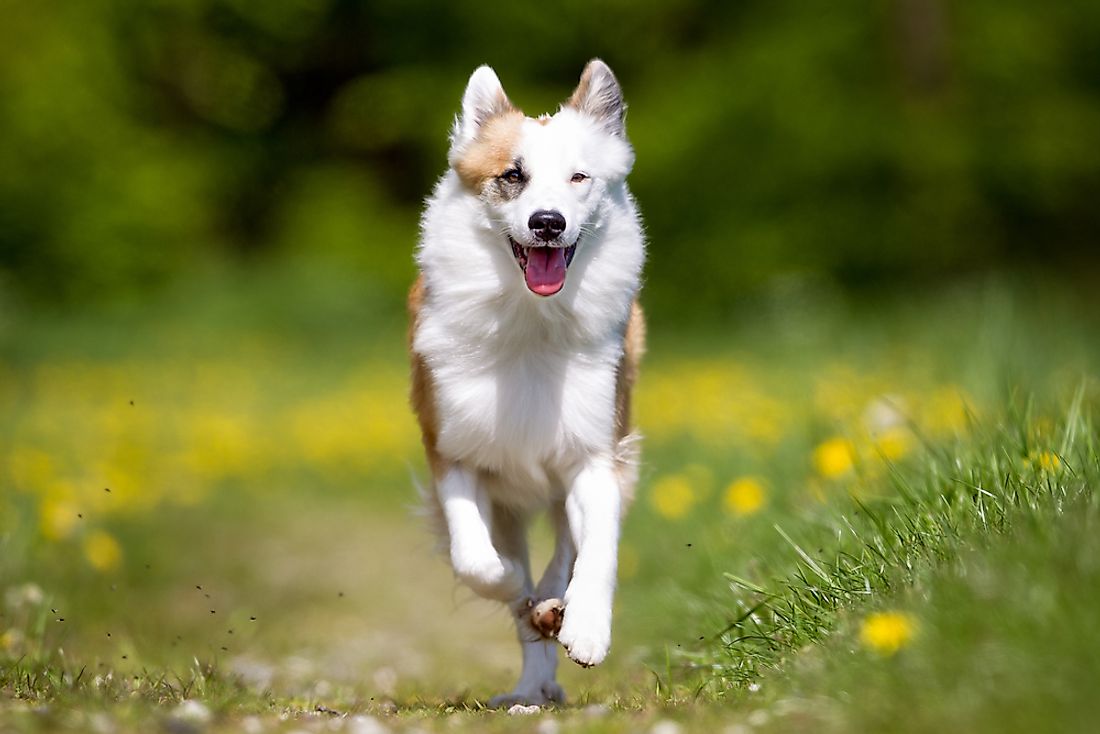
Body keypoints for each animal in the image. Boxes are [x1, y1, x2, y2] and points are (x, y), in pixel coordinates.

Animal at [409, 58, 642, 704]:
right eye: (513, 176)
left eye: (579, 177)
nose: (547, 223)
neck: (530, 322)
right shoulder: (452, 450)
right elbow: (475, 558)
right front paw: (513, 586)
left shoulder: (596, 454)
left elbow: (597, 551)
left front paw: (585, 629)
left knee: (565, 555)